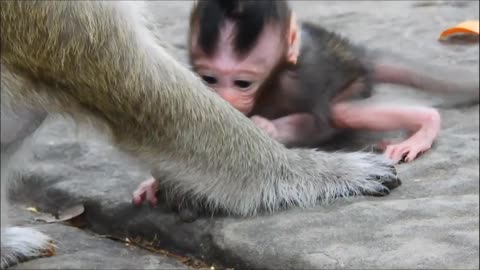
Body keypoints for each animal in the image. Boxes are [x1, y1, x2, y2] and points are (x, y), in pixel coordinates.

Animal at [189, 0, 478, 163]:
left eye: (242, 83)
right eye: (210, 79)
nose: (225, 99)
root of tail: (357, 54)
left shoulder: (306, 77)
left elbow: (319, 125)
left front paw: (266, 127)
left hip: (354, 81)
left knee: (342, 111)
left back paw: (427, 123)